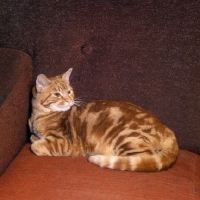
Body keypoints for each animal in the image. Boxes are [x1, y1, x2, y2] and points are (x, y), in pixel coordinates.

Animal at [27, 69, 178, 172]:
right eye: (57, 94)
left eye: (69, 91)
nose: (70, 100)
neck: (39, 115)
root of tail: (165, 128)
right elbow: (33, 137)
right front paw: (36, 137)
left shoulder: (65, 142)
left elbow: (35, 146)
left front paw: (38, 143)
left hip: (127, 139)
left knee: (143, 158)